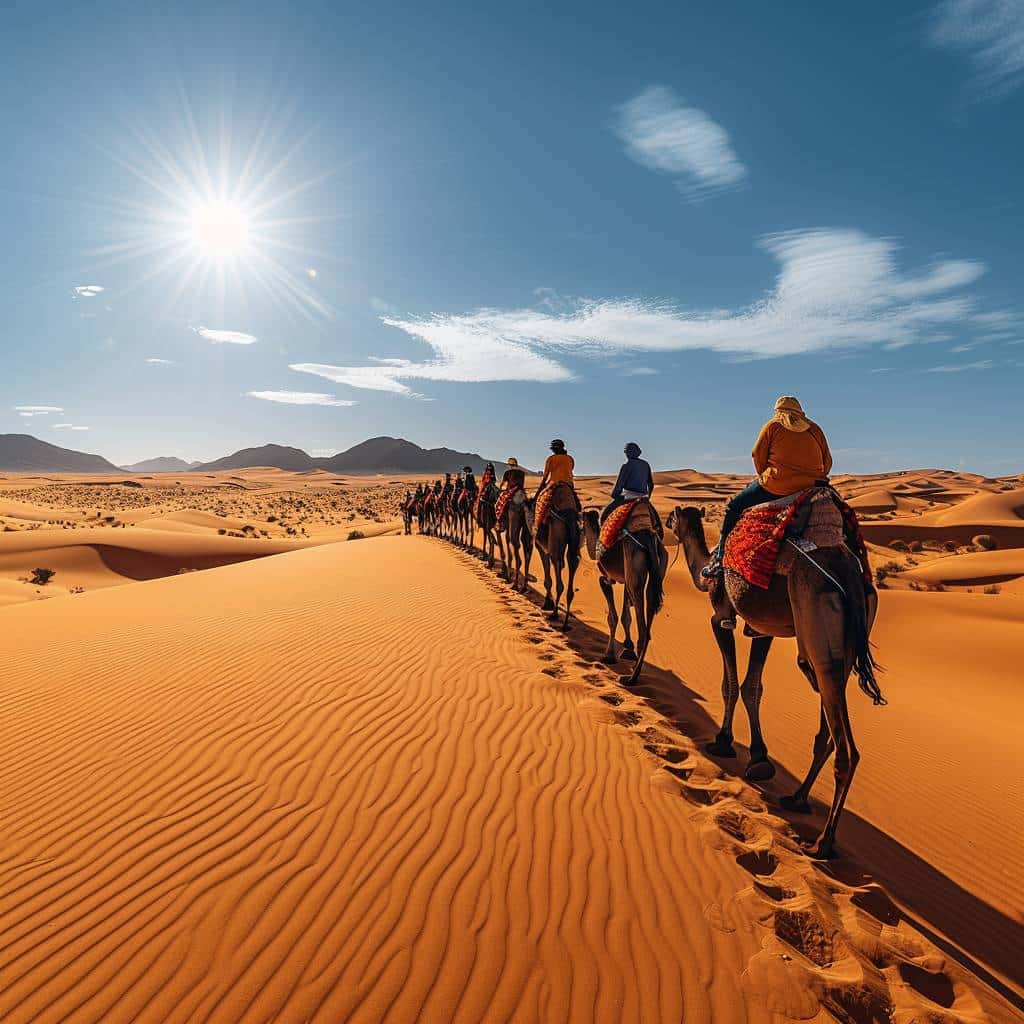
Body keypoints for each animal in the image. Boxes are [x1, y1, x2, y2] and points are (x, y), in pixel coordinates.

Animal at [528, 483, 585, 626]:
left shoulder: (541, 547)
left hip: (555, 536)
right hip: (574, 538)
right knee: (572, 562)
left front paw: (547, 603)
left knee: (557, 567)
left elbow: (548, 579)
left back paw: (554, 614)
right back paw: (565, 620)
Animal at [585, 505, 671, 684]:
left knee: (643, 629)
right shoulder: (625, 580)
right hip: (657, 570)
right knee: (649, 607)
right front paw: (627, 649)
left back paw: (631, 678)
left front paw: (609, 655)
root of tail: (649, 540)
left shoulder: (607, 580)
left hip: (634, 567)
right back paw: (635, 670)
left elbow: (612, 617)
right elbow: (626, 616)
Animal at [667, 499, 884, 860]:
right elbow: (752, 686)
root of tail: (852, 581)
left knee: (846, 749)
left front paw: (723, 741)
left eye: (673, 515)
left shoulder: (720, 617)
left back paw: (822, 843)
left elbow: (731, 684)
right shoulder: (761, 629)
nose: (665, 522)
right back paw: (797, 798)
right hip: (838, 650)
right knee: (828, 728)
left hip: (817, 632)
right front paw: (758, 757)